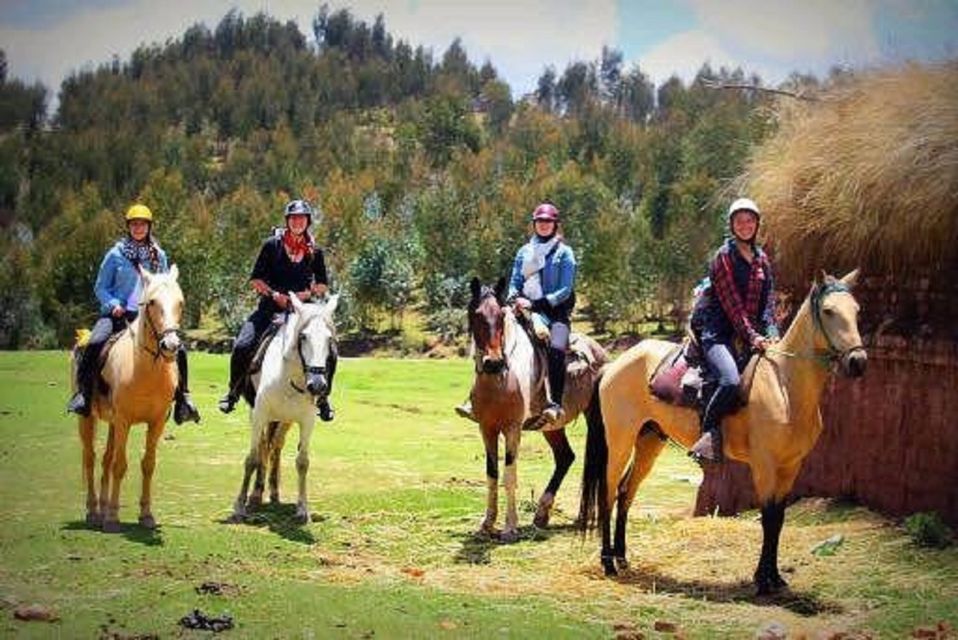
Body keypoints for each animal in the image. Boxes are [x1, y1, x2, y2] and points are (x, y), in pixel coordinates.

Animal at [75, 264, 186, 528]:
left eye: (180, 302)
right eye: (153, 302)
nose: (171, 345)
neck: (145, 371)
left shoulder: (156, 422)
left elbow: (147, 464)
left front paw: (146, 515)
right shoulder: (124, 420)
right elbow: (119, 465)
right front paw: (113, 517)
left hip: (113, 424)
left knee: (104, 459)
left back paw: (102, 508)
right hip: (87, 418)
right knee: (91, 458)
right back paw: (94, 511)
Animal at [231, 296, 340, 524]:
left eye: (329, 339)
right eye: (303, 336)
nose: (317, 385)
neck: (289, 379)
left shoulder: (307, 421)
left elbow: (302, 462)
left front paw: (303, 510)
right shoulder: (259, 415)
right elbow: (252, 458)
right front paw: (239, 506)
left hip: (284, 420)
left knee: (275, 446)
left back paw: (273, 490)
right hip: (259, 415)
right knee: (264, 446)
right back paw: (256, 494)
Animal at [466, 278, 608, 544]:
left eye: (501, 316)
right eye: (475, 315)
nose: (493, 362)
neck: (500, 381)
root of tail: (600, 352)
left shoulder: (512, 429)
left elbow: (509, 475)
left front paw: (510, 528)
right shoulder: (487, 428)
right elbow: (492, 474)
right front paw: (487, 524)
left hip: (595, 418)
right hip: (551, 427)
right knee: (565, 457)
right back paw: (542, 513)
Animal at [576, 270, 872, 596]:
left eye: (856, 310)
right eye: (829, 311)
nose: (858, 362)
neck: (784, 385)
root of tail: (614, 364)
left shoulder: (791, 466)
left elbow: (779, 518)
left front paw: (775, 578)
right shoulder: (764, 466)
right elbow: (768, 517)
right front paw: (763, 580)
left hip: (649, 441)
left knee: (626, 490)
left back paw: (622, 557)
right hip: (620, 441)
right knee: (608, 491)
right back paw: (608, 563)